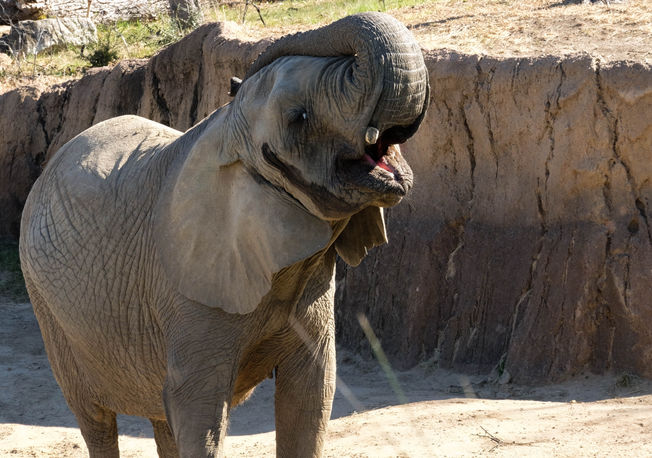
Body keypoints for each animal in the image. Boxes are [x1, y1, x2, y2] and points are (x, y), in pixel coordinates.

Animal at [19, 12, 429, 458]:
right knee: (95, 418)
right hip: (49, 309)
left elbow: (311, 395)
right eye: (299, 118)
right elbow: (198, 408)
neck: (230, 133)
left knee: (159, 416)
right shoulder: (188, 289)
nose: (235, 82)